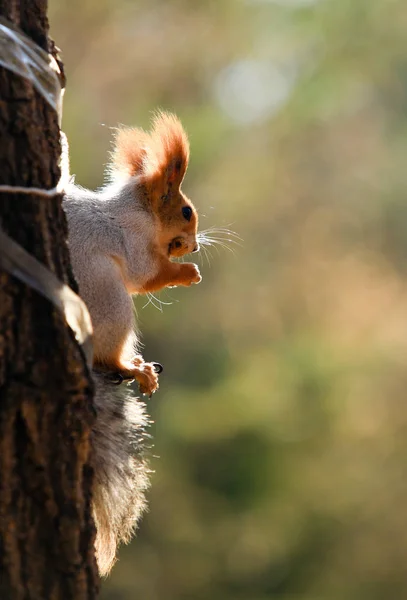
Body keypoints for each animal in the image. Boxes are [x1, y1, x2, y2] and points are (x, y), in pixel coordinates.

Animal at [63, 112, 202, 576]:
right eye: (186, 211)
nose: (195, 245)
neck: (132, 209)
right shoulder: (134, 240)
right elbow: (146, 275)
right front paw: (187, 272)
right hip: (109, 302)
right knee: (110, 353)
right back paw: (132, 368)